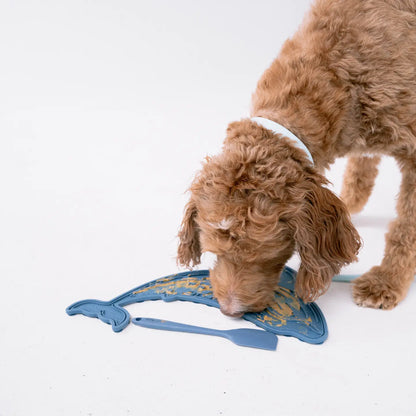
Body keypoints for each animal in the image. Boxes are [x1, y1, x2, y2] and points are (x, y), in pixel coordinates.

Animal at [176, 0, 416, 314]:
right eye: (215, 251)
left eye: (265, 254)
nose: (230, 311)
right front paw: (351, 200)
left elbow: (406, 227)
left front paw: (387, 280)